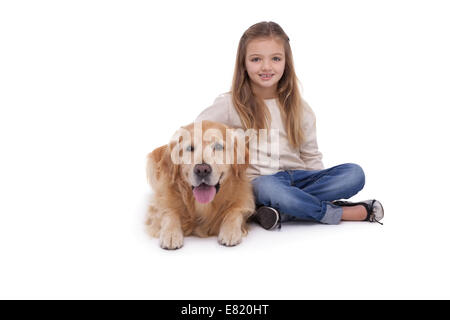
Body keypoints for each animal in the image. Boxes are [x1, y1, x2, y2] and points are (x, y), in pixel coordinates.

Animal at [146, 120, 255, 250]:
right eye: (190, 148)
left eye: (218, 147)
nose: (202, 169)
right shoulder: (161, 201)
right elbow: (169, 212)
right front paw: (171, 234)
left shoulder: (243, 201)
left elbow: (234, 212)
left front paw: (230, 231)